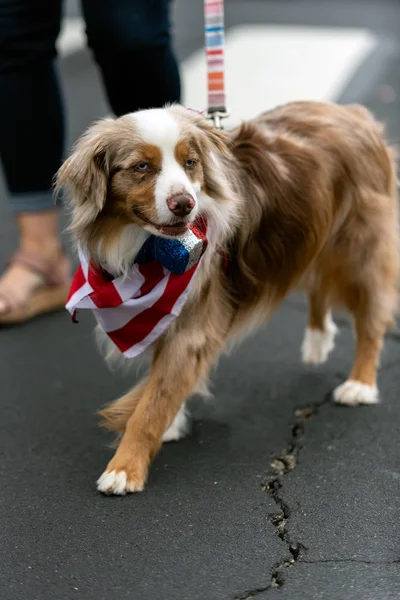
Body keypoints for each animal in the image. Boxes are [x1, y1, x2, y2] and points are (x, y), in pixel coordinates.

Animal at [57, 103, 400, 494]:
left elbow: (152, 404)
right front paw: (168, 424)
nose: (184, 204)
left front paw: (125, 468)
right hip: (312, 231)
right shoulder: (164, 316)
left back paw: (360, 384)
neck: (147, 251)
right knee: (318, 283)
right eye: (142, 166)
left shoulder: (193, 322)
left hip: (360, 249)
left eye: (190, 162)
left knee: (371, 318)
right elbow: (160, 381)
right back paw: (317, 339)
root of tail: (351, 111)